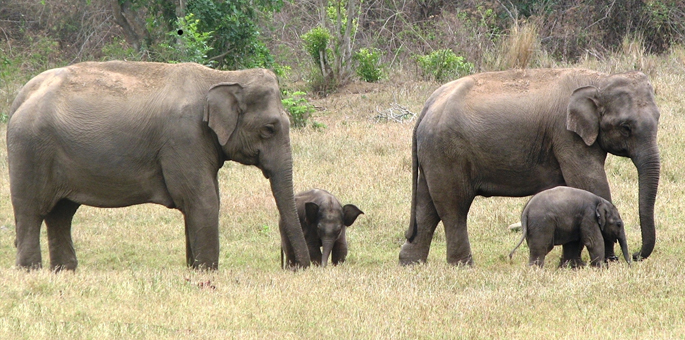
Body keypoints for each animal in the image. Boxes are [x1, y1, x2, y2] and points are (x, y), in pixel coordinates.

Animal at [6, 59, 312, 270]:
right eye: (269, 129)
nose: (300, 267)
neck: (222, 77)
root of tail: (20, 96)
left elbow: (201, 200)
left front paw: (194, 270)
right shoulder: (183, 138)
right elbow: (203, 200)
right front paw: (207, 272)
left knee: (61, 213)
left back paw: (65, 271)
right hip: (30, 150)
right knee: (31, 211)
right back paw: (31, 270)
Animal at [398, 68, 660, 266]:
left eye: (658, 119)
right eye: (626, 127)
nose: (636, 255)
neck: (599, 80)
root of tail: (427, 106)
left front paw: (573, 264)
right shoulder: (566, 135)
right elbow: (590, 182)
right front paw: (607, 261)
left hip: (435, 153)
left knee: (427, 203)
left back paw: (410, 263)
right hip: (448, 151)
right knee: (454, 207)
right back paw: (462, 266)